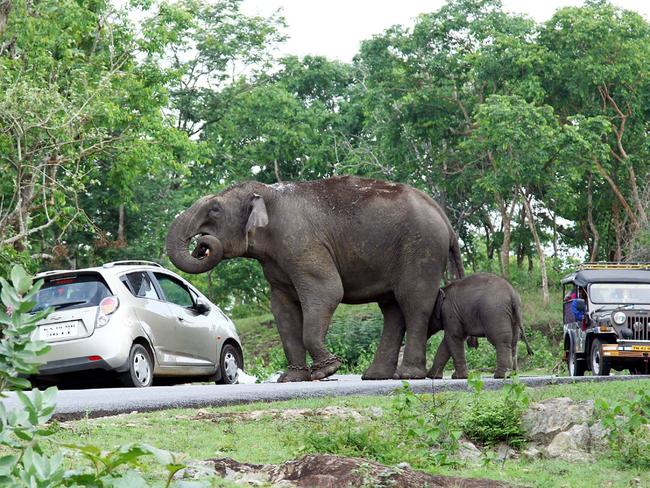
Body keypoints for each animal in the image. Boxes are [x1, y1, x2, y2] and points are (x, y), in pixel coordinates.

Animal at [165, 175, 464, 382]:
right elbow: (283, 309)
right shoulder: (276, 261)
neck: (268, 193)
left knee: (413, 303)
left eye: (215, 210)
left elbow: (328, 292)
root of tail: (444, 217)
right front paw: (292, 379)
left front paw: (327, 370)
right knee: (392, 309)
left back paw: (408, 375)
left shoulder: (302, 243)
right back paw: (375, 375)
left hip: (421, 249)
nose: (201, 244)